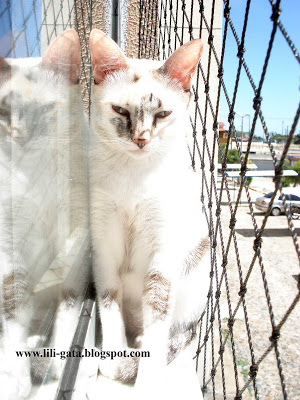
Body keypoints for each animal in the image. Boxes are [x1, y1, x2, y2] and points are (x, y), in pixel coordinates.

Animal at [89, 28, 211, 388]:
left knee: (170, 333)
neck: (134, 174)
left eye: (163, 114)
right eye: (120, 110)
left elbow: (157, 313)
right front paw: (115, 356)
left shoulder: (163, 252)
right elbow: (109, 302)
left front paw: (145, 380)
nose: (141, 139)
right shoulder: (103, 244)